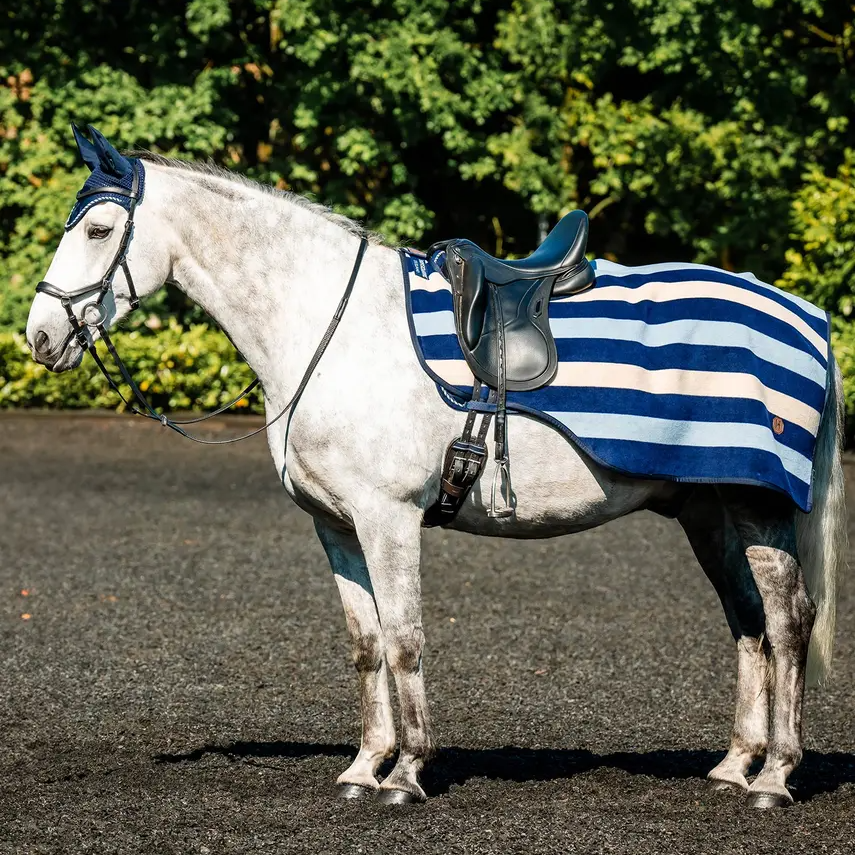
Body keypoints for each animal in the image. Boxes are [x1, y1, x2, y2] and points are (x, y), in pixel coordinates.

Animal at [25, 128, 847, 808]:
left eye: (98, 229)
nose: (38, 336)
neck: (331, 326)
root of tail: (805, 316)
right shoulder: (338, 527)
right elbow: (365, 645)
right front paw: (365, 767)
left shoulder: (387, 518)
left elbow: (404, 638)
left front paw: (409, 773)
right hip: (709, 511)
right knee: (748, 624)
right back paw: (734, 765)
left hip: (756, 507)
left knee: (786, 621)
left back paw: (774, 778)